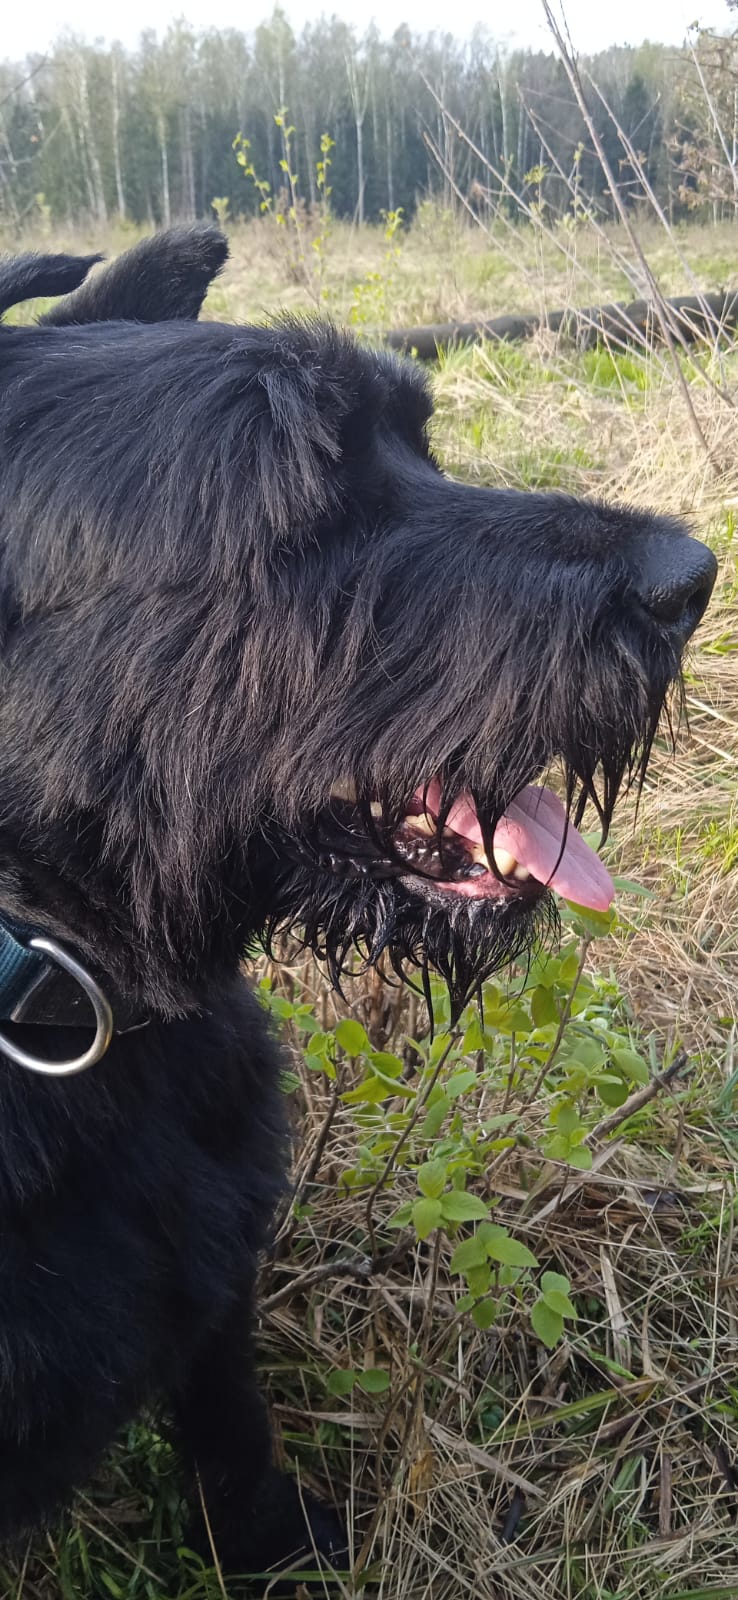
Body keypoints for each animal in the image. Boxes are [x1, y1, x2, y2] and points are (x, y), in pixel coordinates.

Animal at [0, 226, 716, 1582]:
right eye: (307, 499)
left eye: (419, 446)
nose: (692, 577)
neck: (77, 999)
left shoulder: (217, 1275)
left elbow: (235, 1427)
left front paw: (280, 1554)